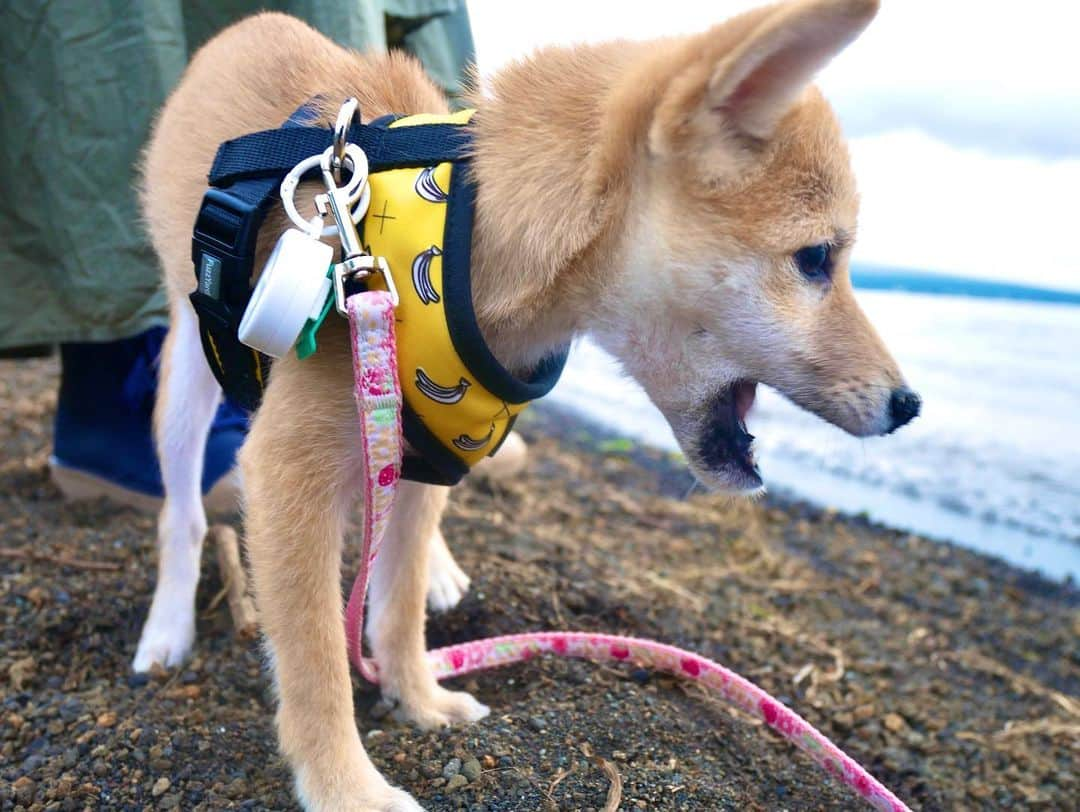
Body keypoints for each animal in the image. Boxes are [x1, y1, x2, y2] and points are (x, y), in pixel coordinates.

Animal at [132, 0, 911, 807]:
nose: (909, 404)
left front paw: (418, 698)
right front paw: (347, 788)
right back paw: (168, 626)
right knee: (182, 515)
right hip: (188, 373)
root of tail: (247, 28)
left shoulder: (426, 452)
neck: (467, 236)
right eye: (817, 259)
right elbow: (316, 662)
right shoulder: (290, 474)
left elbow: (398, 609)